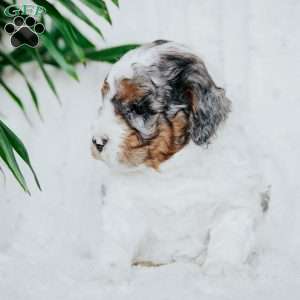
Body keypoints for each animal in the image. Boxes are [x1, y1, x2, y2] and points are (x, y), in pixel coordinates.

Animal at [90, 39, 266, 278]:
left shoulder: (235, 202)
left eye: (139, 108)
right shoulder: (122, 203)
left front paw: (222, 270)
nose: (97, 142)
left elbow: (227, 236)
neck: (171, 172)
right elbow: (117, 237)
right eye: (104, 101)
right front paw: (110, 272)